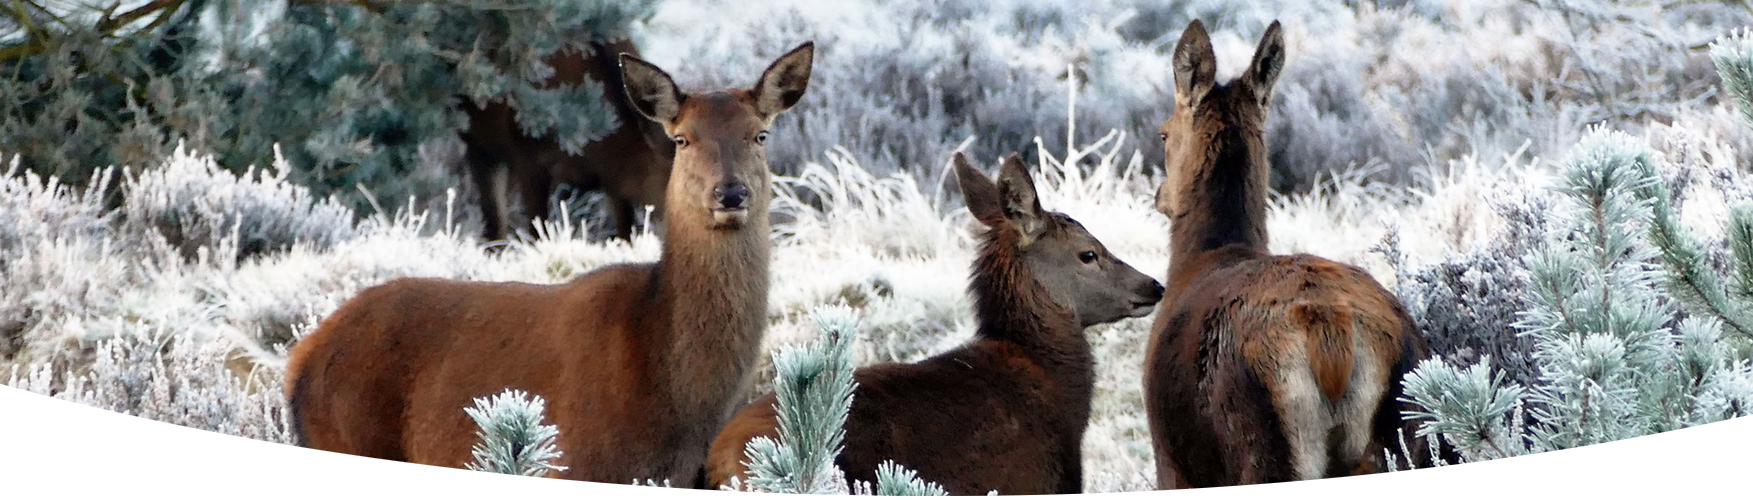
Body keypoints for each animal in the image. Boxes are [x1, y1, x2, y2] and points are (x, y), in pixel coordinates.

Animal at [459, 37, 676, 242]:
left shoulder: (614, 181)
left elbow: (625, 234)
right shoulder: (525, 155)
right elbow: (538, 231)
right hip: (480, 143)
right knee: (494, 219)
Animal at [1142, 20, 1430, 487]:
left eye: (1164, 132)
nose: (1160, 195)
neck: (1203, 257)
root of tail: (1332, 336)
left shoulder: (1171, 462)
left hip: (1264, 440)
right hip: (1404, 426)